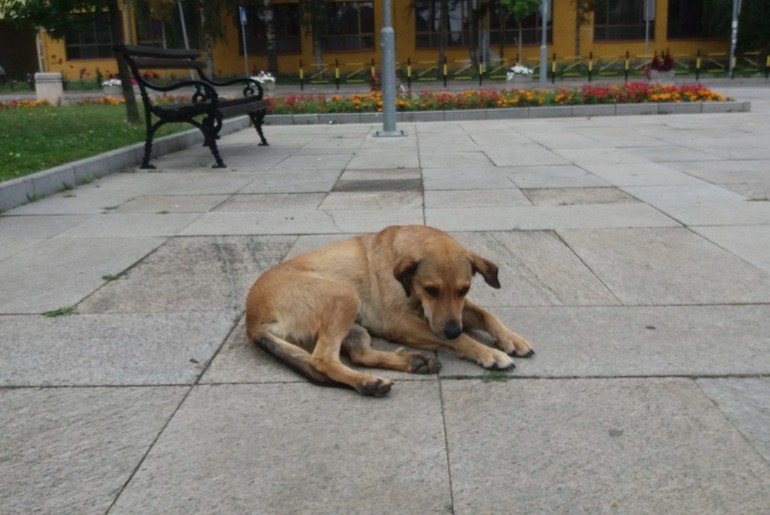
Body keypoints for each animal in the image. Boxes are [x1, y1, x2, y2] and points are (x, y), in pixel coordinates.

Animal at [246, 224, 536, 398]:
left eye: (464, 289)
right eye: (431, 289)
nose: (453, 330)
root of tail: (252, 320)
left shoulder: (452, 312)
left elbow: (487, 315)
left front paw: (512, 339)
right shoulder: (400, 323)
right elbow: (463, 339)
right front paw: (488, 353)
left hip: (355, 325)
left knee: (360, 355)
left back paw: (411, 362)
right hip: (344, 296)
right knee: (323, 360)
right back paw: (368, 382)